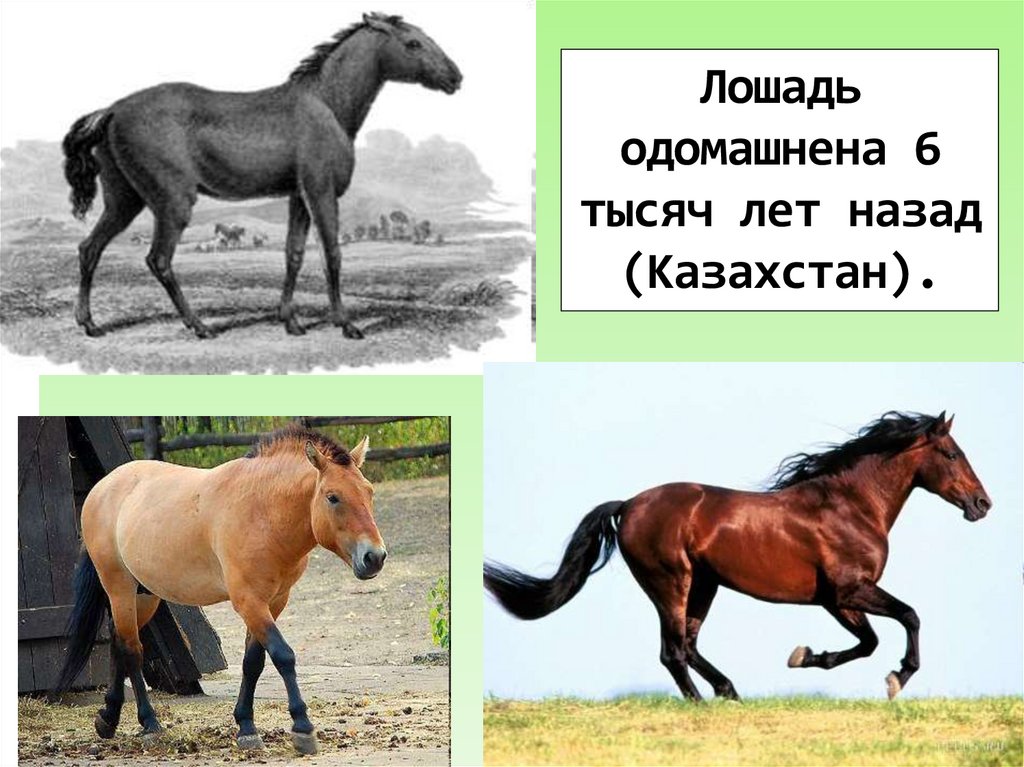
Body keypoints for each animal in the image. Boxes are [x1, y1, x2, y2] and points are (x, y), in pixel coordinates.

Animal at [49, 427, 388, 756]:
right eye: (333, 497)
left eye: (369, 492)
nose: (374, 557)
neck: (262, 512)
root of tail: (102, 488)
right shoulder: (249, 602)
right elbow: (283, 655)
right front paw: (302, 726)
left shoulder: (274, 602)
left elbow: (253, 663)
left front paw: (246, 727)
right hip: (119, 587)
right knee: (132, 650)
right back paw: (150, 725)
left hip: (144, 595)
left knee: (118, 642)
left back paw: (108, 718)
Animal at [62, 13, 462, 339]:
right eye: (413, 43)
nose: (456, 77)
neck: (326, 103)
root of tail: (112, 110)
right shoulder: (321, 192)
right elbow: (331, 253)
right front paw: (345, 324)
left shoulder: (299, 196)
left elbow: (294, 254)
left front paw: (291, 321)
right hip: (172, 203)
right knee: (158, 260)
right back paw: (199, 326)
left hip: (124, 201)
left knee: (89, 249)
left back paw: (90, 323)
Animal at [484, 412, 991, 701]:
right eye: (951, 453)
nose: (982, 504)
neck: (850, 505)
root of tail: (628, 505)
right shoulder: (850, 590)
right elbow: (908, 617)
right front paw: (897, 679)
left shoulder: (836, 600)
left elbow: (868, 642)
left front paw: (805, 657)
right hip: (671, 582)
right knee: (673, 651)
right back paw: (703, 703)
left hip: (704, 586)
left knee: (688, 646)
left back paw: (729, 692)